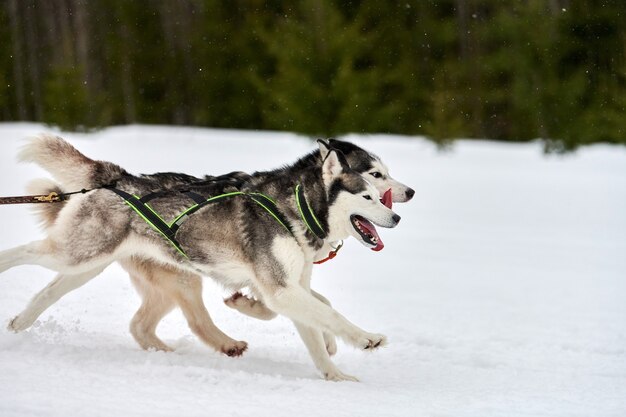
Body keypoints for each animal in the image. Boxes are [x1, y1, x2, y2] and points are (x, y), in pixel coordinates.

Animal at [1, 136, 410, 380]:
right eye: (370, 189)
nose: (397, 216)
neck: (296, 204)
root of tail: (116, 178)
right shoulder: (281, 289)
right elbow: (329, 313)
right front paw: (365, 339)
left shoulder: (290, 287)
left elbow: (317, 319)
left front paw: (334, 374)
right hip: (79, 255)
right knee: (22, 253)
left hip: (91, 265)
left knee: (65, 299)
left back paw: (20, 325)